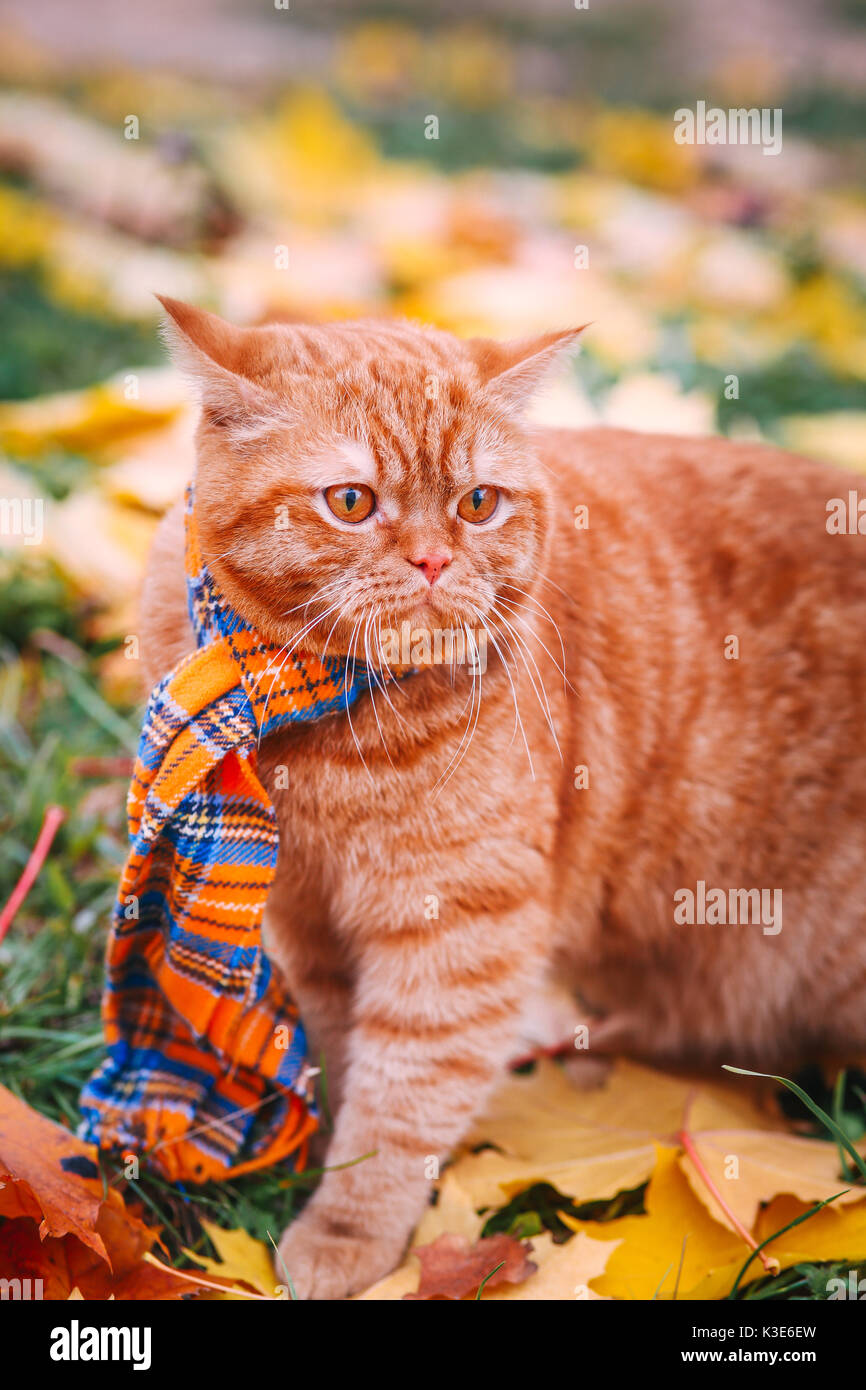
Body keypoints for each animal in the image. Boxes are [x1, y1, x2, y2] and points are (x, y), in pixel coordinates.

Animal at [142, 298, 866, 1295]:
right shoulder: (302, 919)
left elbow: (401, 1102)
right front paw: (327, 1162)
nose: (435, 560)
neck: (316, 730)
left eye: (477, 503)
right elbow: (343, 1055)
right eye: (351, 502)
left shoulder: (455, 934)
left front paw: (348, 1233)